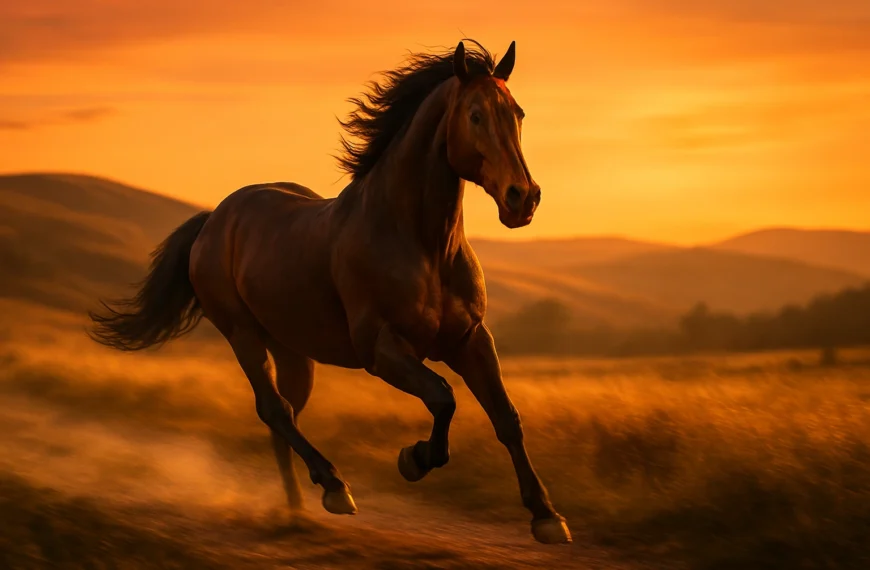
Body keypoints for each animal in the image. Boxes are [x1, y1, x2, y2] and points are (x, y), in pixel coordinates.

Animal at [89, 39, 571, 545]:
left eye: (517, 113)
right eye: (475, 115)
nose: (523, 199)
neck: (421, 243)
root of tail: (214, 219)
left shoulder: (470, 340)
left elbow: (506, 417)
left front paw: (547, 516)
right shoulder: (382, 350)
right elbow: (443, 397)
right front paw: (414, 459)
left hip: (293, 351)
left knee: (286, 415)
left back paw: (297, 508)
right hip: (242, 335)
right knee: (274, 410)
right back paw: (334, 488)